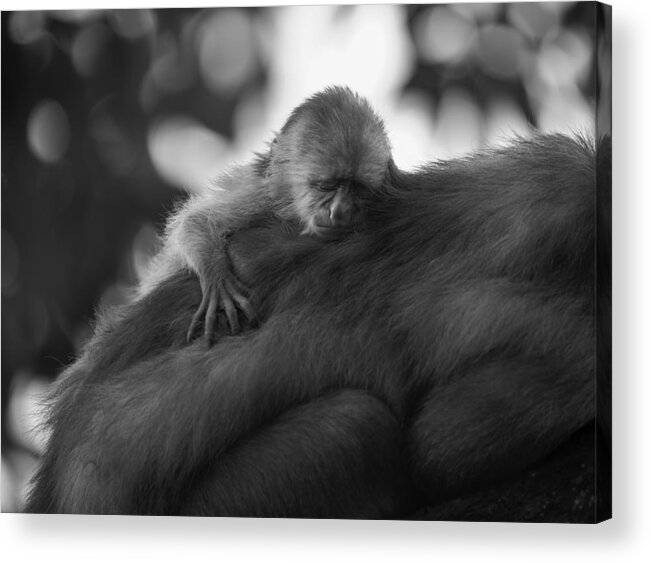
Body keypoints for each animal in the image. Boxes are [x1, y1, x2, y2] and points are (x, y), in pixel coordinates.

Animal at [154, 86, 398, 346]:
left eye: (357, 189)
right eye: (326, 186)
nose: (339, 211)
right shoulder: (261, 196)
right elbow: (195, 222)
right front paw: (217, 279)